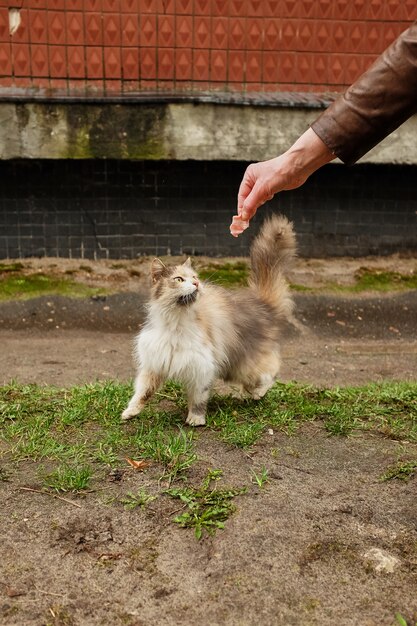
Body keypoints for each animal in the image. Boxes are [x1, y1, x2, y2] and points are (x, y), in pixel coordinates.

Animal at [120, 213, 296, 424]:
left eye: (195, 277)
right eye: (179, 279)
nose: (196, 283)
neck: (176, 322)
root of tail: (260, 302)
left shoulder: (201, 366)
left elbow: (198, 397)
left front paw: (196, 419)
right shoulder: (156, 363)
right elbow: (143, 392)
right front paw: (131, 411)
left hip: (244, 364)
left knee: (271, 371)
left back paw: (257, 393)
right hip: (234, 367)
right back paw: (247, 393)